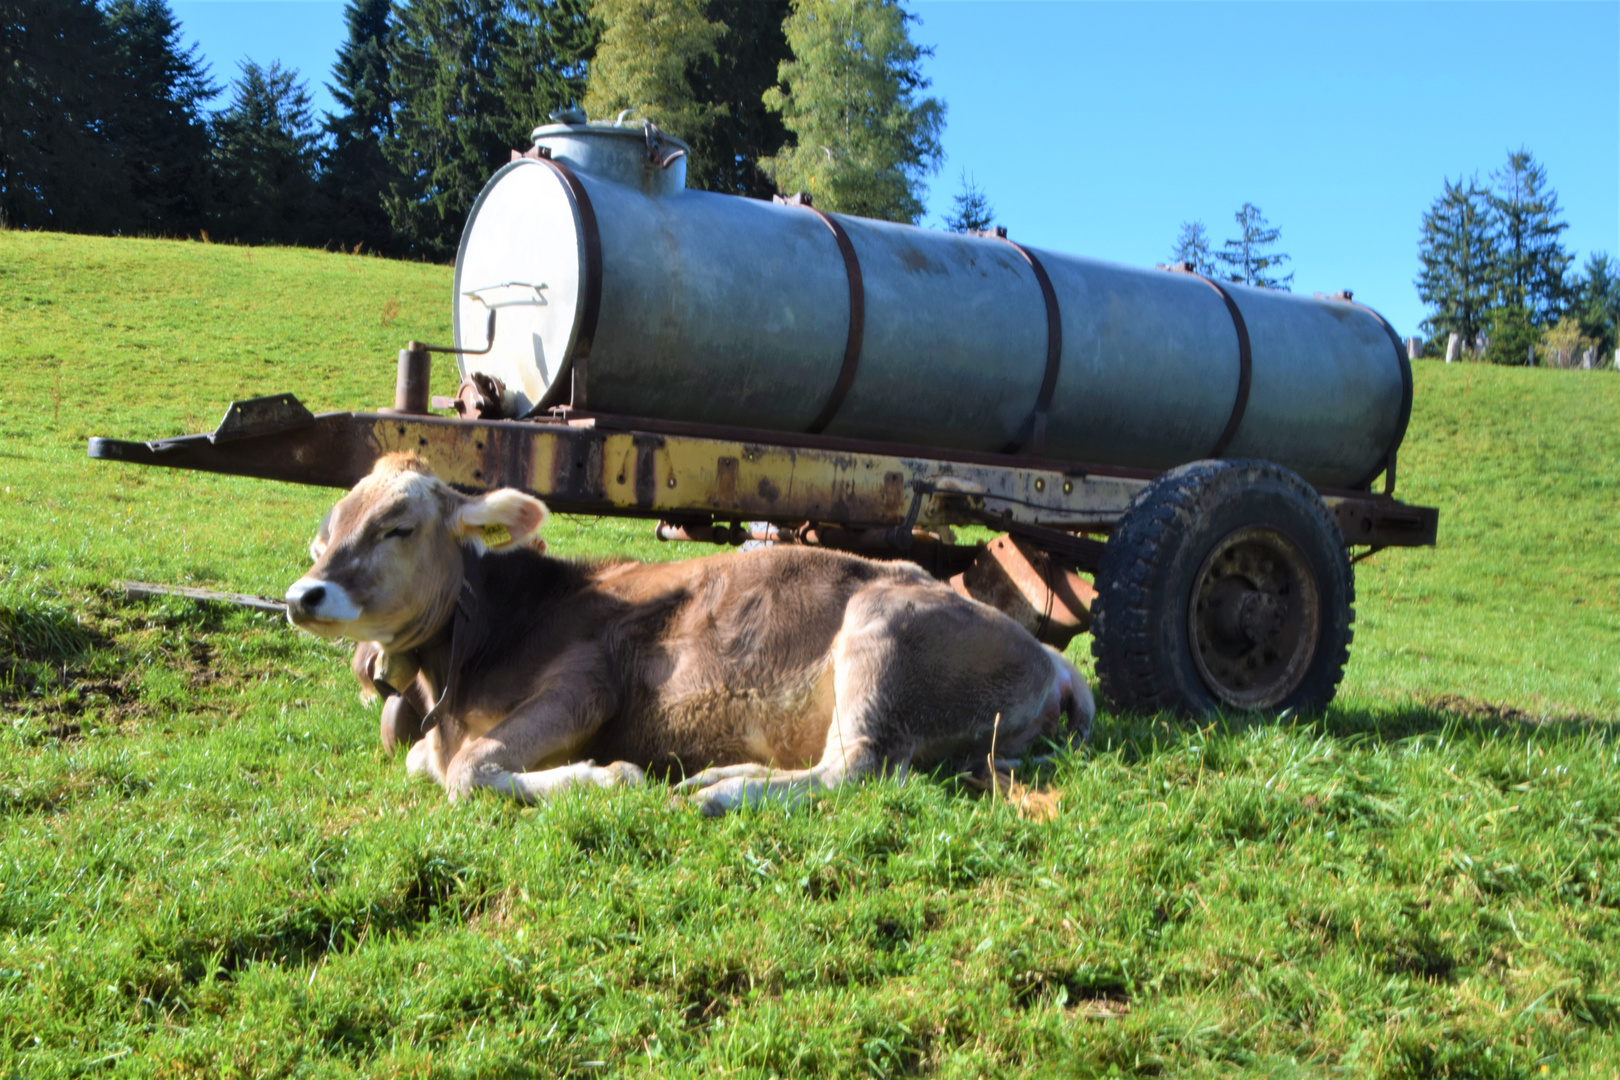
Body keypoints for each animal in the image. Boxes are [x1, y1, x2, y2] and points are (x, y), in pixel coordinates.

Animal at [285, 453, 1095, 816]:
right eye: (321, 537)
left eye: (397, 526)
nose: (301, 595)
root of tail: (1053, 661)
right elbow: (424, 760)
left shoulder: (590, 681)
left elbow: (464, 770)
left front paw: (608, 776)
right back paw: (722, 776)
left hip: (882, 633)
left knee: (856, 767)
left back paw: (719, 793)